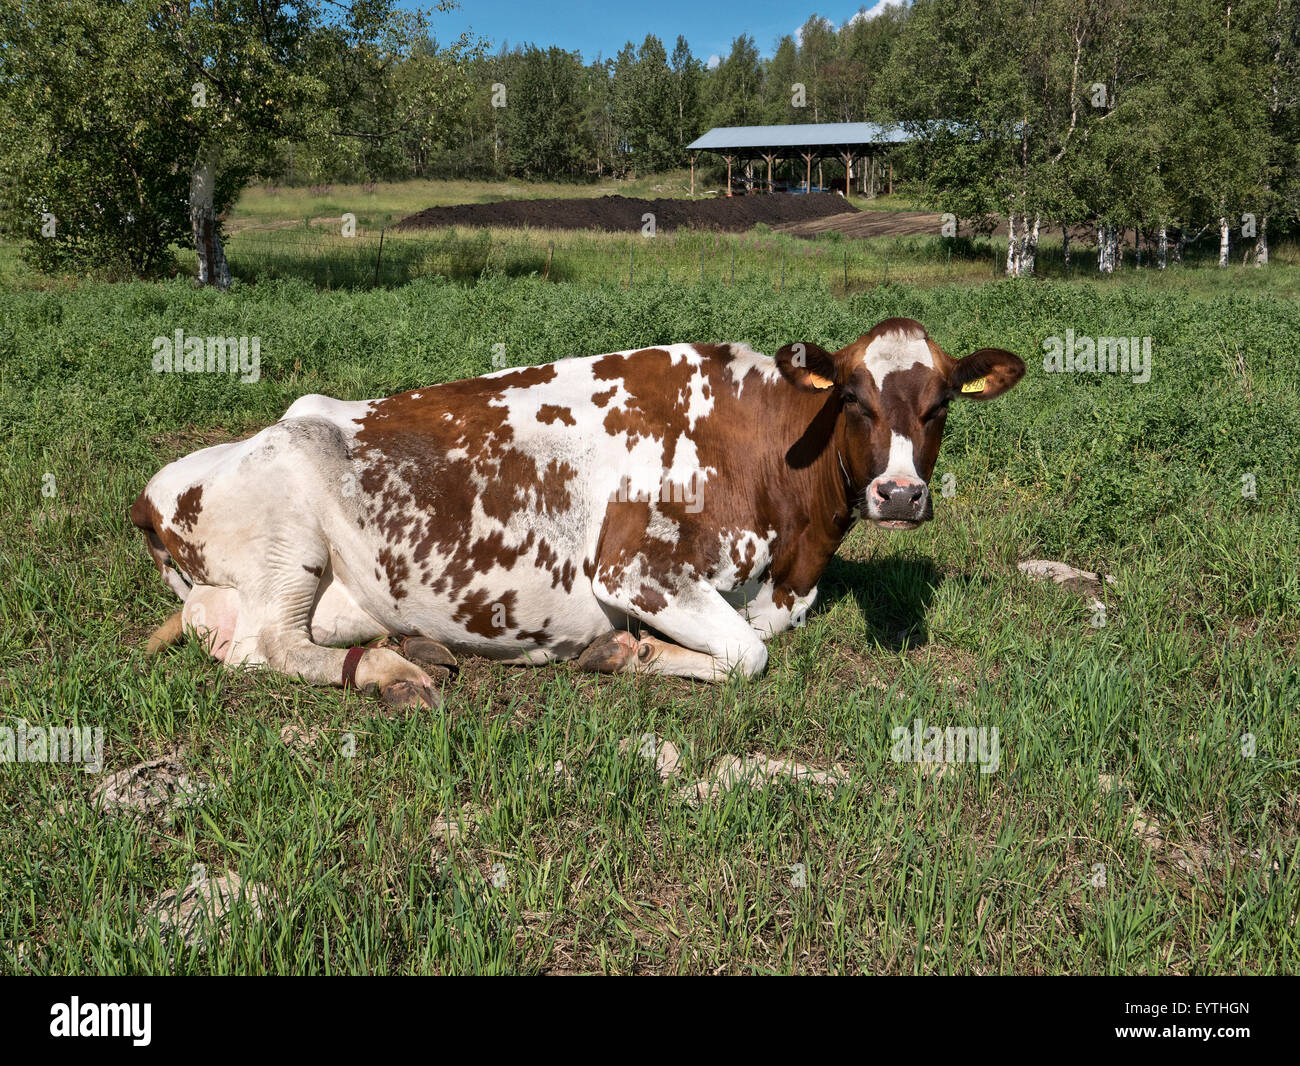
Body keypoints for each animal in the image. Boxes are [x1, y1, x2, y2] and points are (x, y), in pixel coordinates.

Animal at [131, 315, 1024, 707]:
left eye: (940, 405)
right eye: (853, 399)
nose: (900, 494)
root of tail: (153, 490)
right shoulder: (635, 567)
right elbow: (748, 656)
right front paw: (629, 652)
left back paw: (412, 647)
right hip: (288, 540)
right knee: (267, 649)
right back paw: (392, 671)